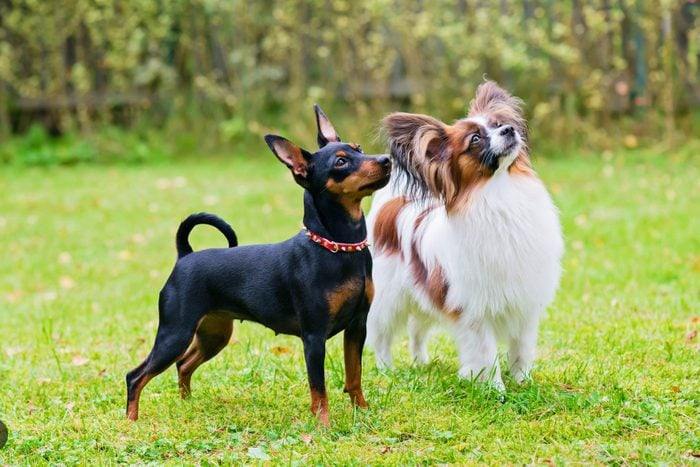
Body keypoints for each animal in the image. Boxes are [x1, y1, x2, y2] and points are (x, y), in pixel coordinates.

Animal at [124, 107, 388, 428]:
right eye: (341, 162)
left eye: (358, 148)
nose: (386, 160)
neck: (339, 247)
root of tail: (185, 256)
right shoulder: (314, 337)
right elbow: (319, 387)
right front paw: (323, 425)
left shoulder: (357, 327)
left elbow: (354, 376)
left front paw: (362, 412)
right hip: (175, 333)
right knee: (136, 376)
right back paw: (131, 421)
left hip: (214, 334)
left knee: (183, 365)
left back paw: (187, 404)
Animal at [366, 81, 564, 392]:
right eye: (475, 139)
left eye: (498, 124)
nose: (509, 130)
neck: (499, 192)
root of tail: (393, 203)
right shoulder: (474, 312)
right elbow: (486, 354)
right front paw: (495, 390)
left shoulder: (525, 305)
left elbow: (521, 349)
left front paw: (523, 382)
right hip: (388, 297)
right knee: (381, 336)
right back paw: (387, 370)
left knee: (416, 329)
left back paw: (420, 362)